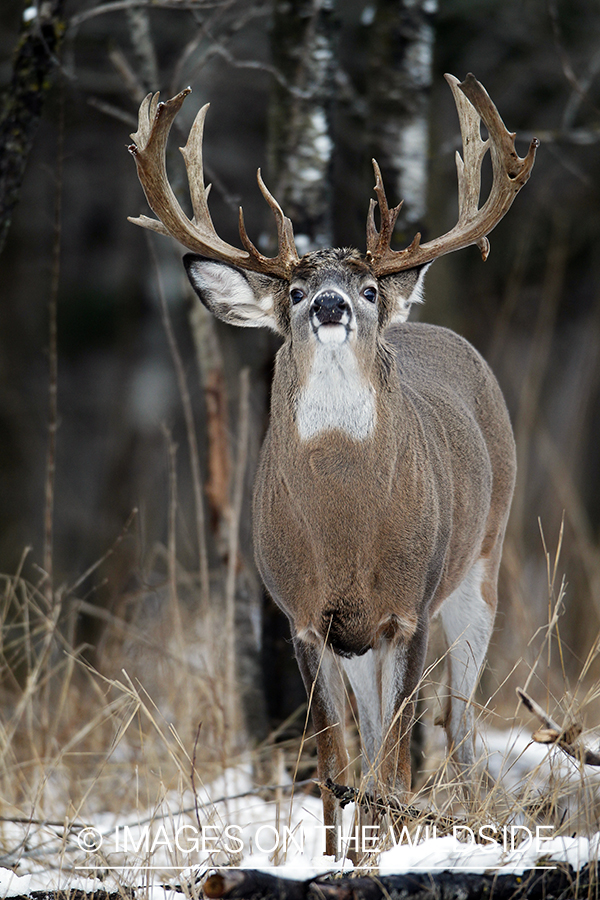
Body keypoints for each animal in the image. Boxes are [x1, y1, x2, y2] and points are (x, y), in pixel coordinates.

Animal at [129, 75, 536, 856]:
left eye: (369, 288)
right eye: (291, 291)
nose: (328, 303)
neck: (347, 529)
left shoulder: (409, 605)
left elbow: (398, 753)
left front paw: (389, 850)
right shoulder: (302, 614)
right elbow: (331, 762)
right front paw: (332, 857)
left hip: (482, 561)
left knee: (457, 722)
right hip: (361, 639)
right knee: (378, 737)